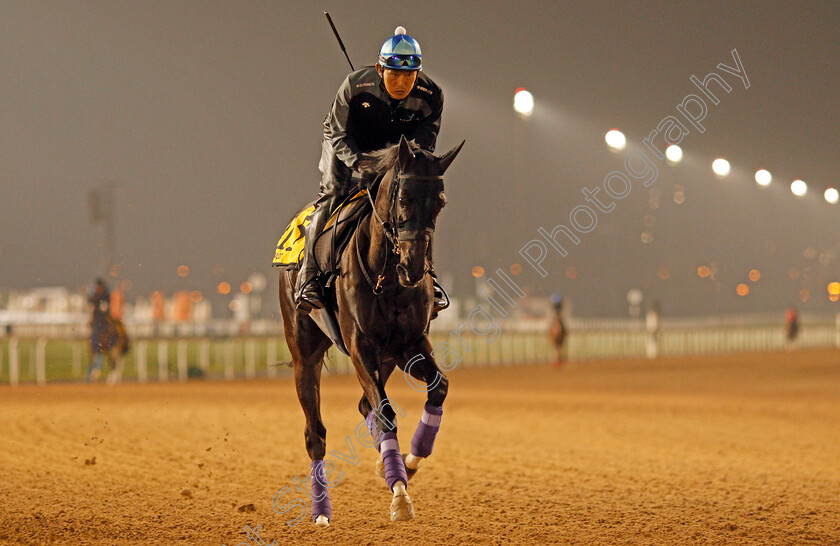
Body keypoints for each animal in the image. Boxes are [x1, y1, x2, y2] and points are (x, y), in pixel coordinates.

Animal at [280, 134, 466, 524]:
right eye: (404, 198)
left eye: (440, 202)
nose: (414, 267)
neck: (388, 278)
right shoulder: (360, 346)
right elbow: (385, 411)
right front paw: (400, 495)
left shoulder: (410, 343)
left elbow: (437, 388)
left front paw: (408, 464)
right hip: (305, 353)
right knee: (315, 432)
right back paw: (321, 510)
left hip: (388, 357)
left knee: (365, 404)